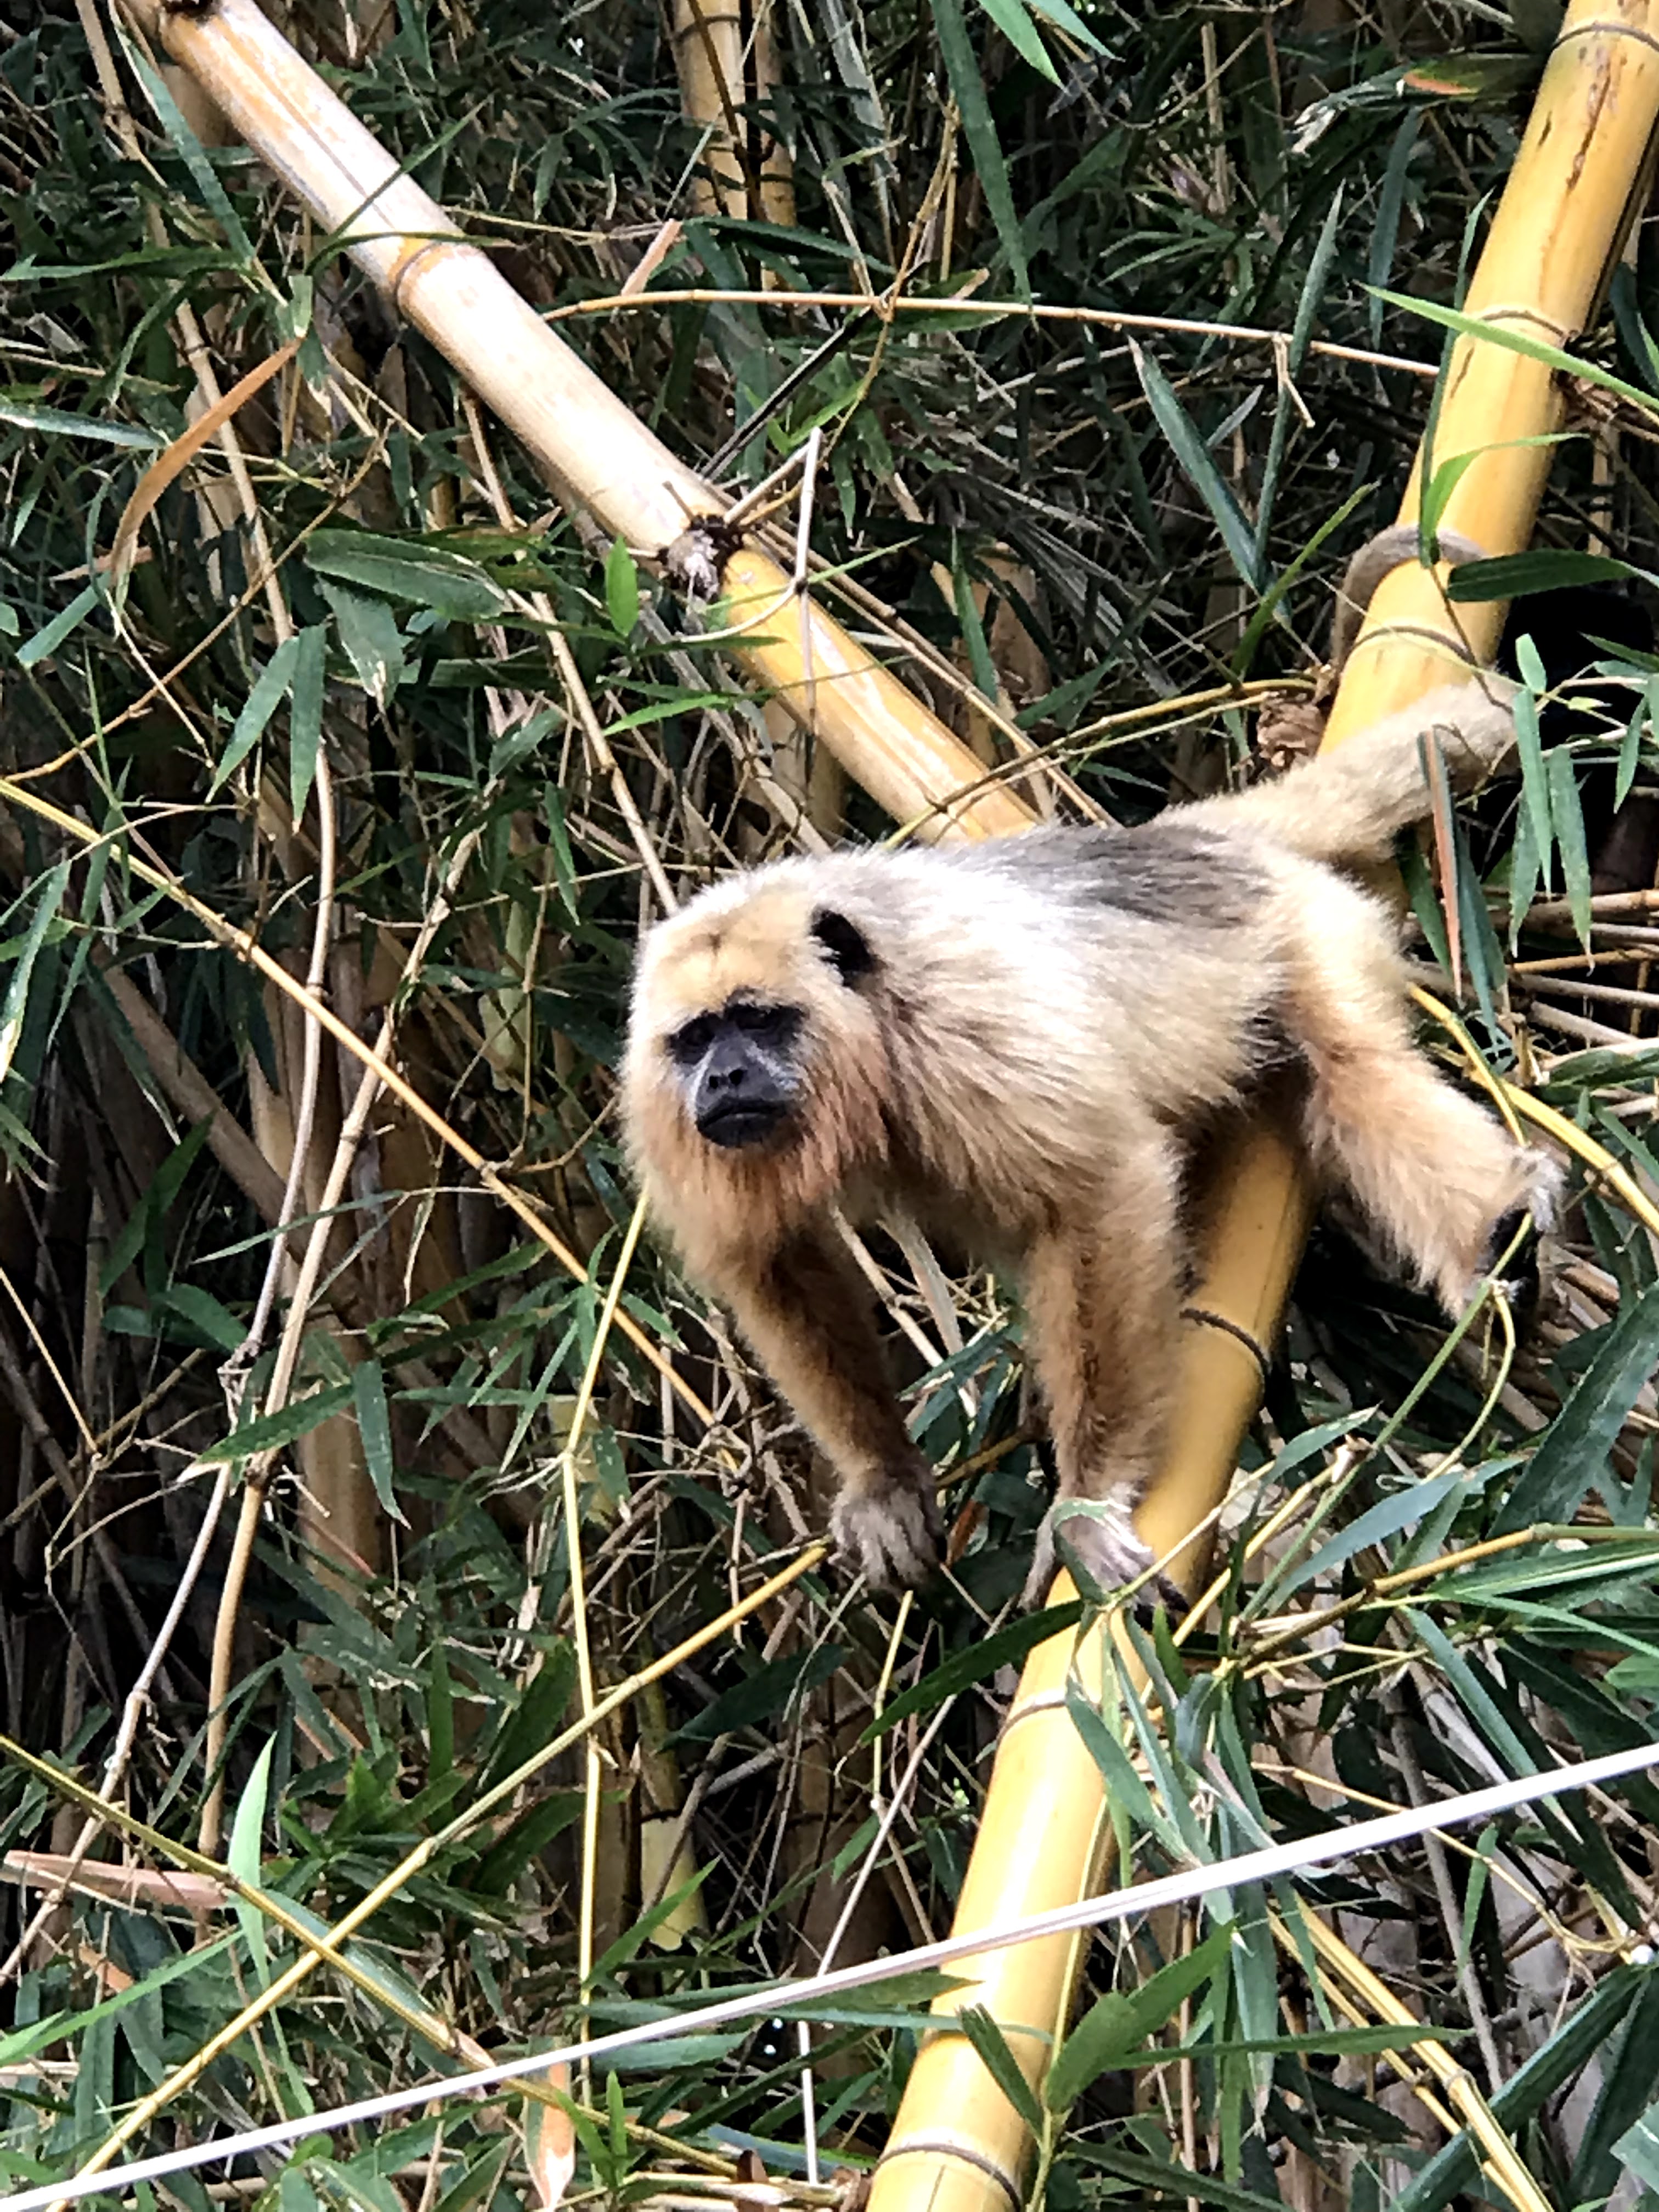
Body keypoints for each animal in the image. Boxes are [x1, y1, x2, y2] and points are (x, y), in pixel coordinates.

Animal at [622, 614, 1560, 1606]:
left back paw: (1498, 1230)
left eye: (759, 1019)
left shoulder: (969, 1023)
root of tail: (1189, 841)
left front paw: (1084, 1501)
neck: (865, 1029)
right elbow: (772, 1263)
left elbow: (1099, 1194)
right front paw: (883, 1476)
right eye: (695, 1038)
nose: (724, 1079)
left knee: (1352, 1068)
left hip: (1309, 925)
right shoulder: (656, 1103)